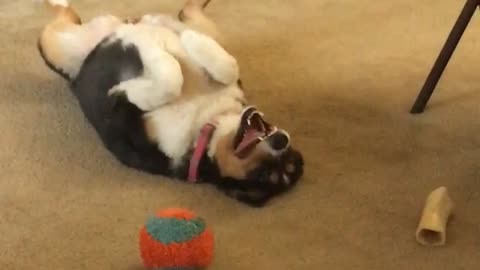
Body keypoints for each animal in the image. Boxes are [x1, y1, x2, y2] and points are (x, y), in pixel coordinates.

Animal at [37, 0, 304, 207]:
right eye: (288, 162)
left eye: (264, 174)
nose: (282, 140)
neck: (205, 125)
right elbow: (228, 67)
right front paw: (189, 42)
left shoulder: (119, 114)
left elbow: (169, 80)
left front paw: (160, 55)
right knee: (189, 12)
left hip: (55, 45)